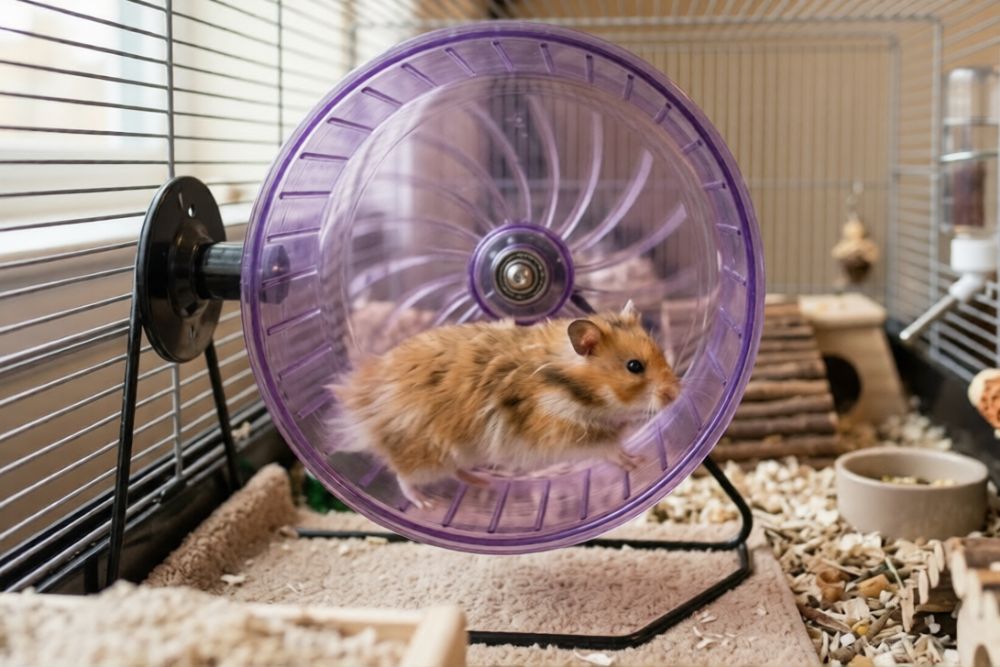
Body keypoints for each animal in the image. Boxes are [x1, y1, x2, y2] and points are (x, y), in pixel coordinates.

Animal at [329, 301, 681, 509]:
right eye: (634, 366)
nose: (676, 394)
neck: (571, 387)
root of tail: (363, 402)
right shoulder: (562, 433)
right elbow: (607, 446)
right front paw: (634, 461)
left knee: (456, 471)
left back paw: (480, 481)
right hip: (425, 455)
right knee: (403, 476)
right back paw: (426, 503)